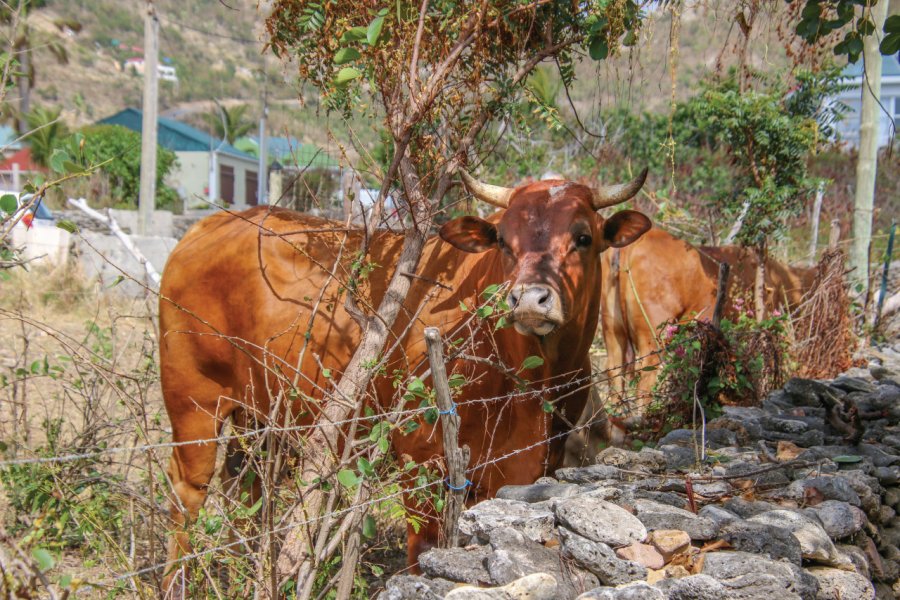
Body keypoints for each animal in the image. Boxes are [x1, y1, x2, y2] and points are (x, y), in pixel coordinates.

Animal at [158, 168, 652, 580]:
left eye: (583, 236)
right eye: (503, 240)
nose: (529, 299)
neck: (531, 387)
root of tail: (213, 225)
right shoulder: (421, 462)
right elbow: (424, 551)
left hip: (259, 421)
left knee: (248, 491)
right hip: (193, 407)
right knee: (186, 498)